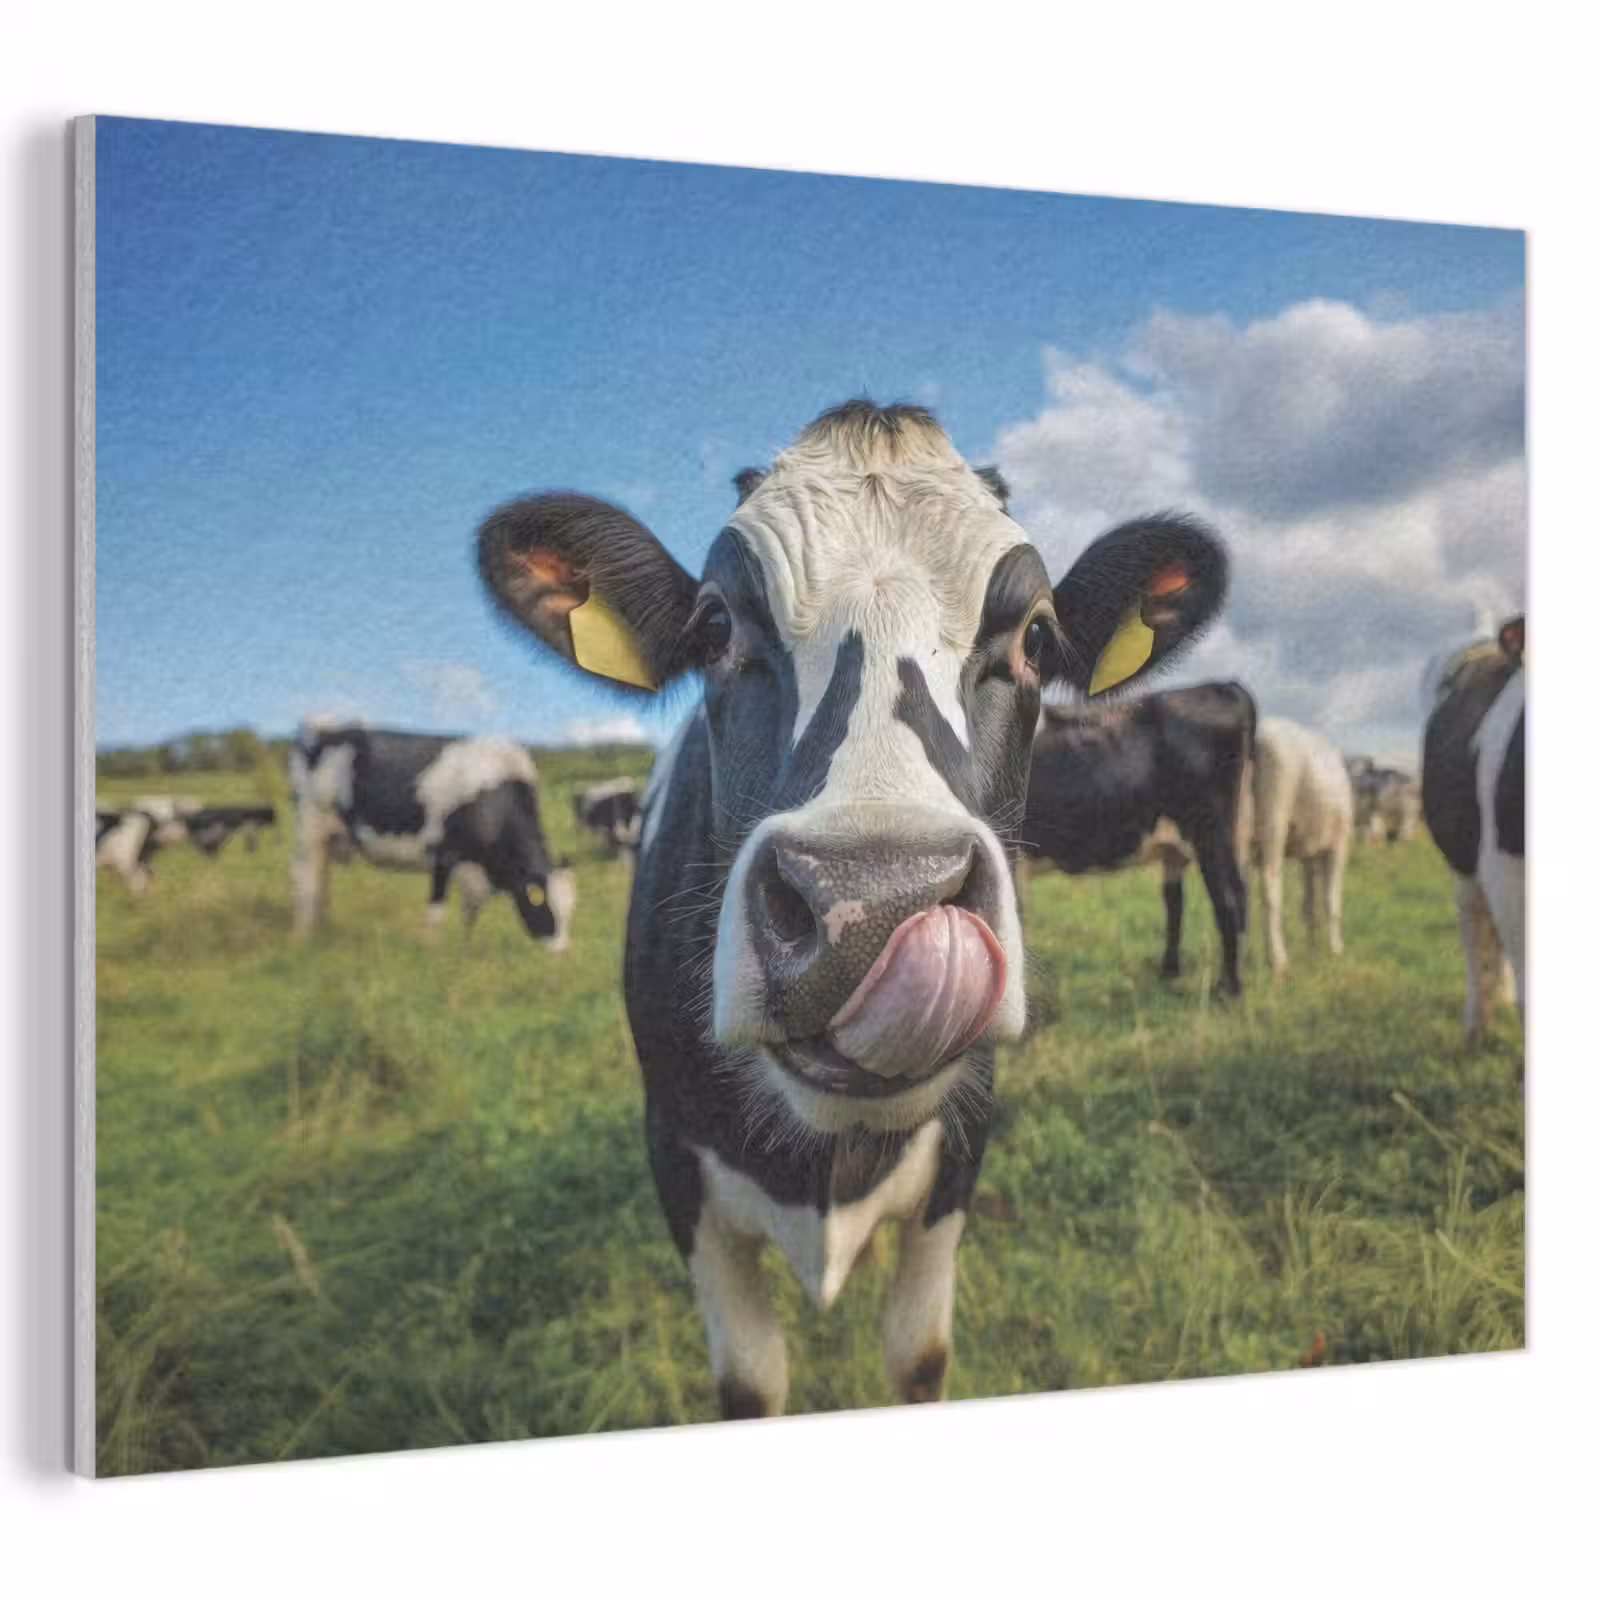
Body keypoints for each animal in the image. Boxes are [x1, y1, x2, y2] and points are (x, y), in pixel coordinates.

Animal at [288, 721, 576, 947]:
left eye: (570, 911)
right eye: (545, 908)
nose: (560, 954)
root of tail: (322, 728)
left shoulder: (476, 872)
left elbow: (471, 915)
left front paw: (466, 951)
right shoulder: (443, 856)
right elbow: (436, 913)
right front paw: (432, 952)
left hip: (329, 838)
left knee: (321, 882)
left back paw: (323, 930)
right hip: (309, 827)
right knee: (306, 882)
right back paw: (303, 936)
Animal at [475, 400, 1227, 1417]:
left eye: (1036, 637)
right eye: (714, 626)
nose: (870, 906)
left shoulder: (962, 1150)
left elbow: (919, 1355)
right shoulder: (674, 1159)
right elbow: (751, 1381)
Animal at [1018, 681, 1255, 996]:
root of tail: (1225, 686)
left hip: (1212, 833)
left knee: (1227, 901)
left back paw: (1228, 990)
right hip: (1221, 838)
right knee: (1189, 901)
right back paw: (1172, 974)